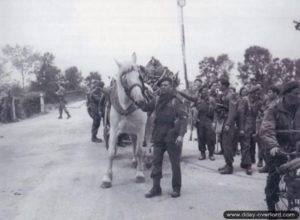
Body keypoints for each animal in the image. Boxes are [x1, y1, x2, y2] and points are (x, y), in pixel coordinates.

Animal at [101, 52, 148, 188]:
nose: (140, 101)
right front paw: (107, 178)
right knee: (133, 142)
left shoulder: (141, 128)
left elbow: (139, 150)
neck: (126, 107)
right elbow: (111, 152)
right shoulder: (113, 129)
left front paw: (139, 174)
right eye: (125, 78)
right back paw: (134, 160)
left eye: (139, 76)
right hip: (131, 130)